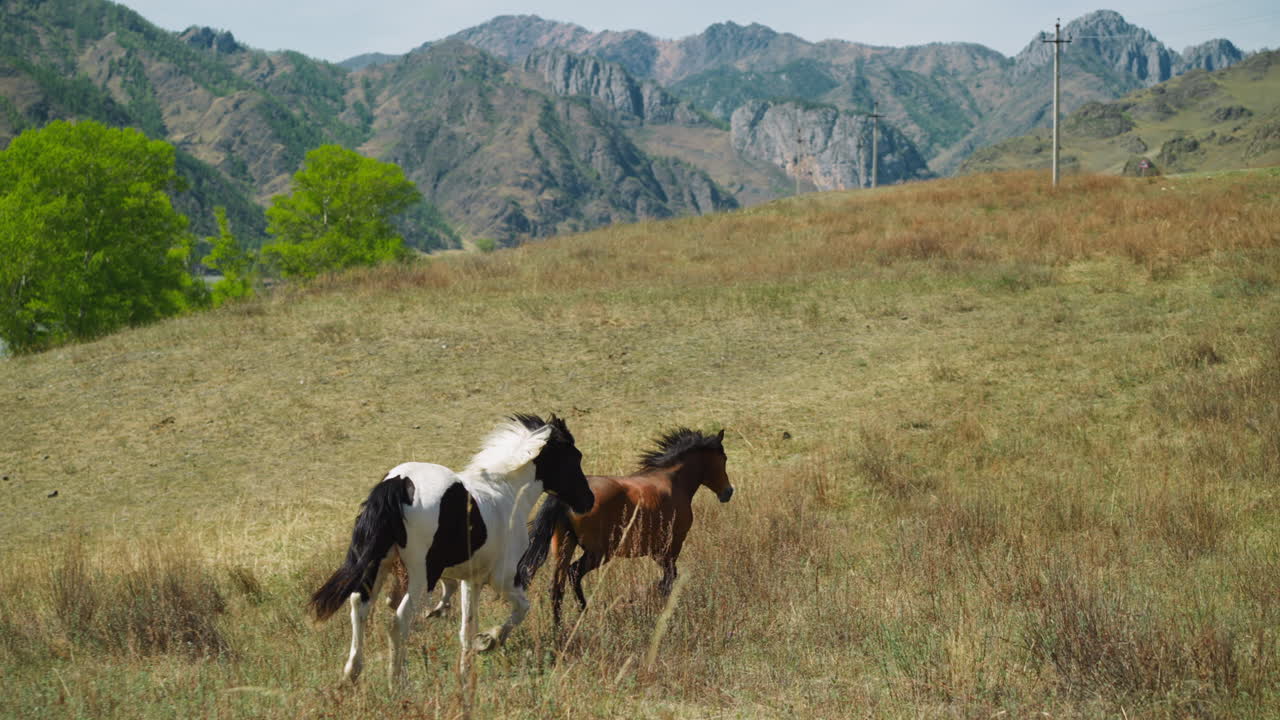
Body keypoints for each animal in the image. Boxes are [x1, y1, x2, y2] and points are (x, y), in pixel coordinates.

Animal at [307, 414, 594, 685]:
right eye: (574, 457)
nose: (588, 501)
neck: (507, 492)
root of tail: (398, 483)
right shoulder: (503, 578)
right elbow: (522, 608)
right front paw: (489, 641)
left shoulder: (471, 579)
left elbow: (467, 628)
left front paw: (467, 670)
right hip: (420, 577)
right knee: (399, 621)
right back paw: (397, 681)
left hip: (376, 566)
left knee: (359, 607)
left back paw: (350, 676)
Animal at [515, 427, 733, 627]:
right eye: (724, 458)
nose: (728, 492)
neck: (673, 481)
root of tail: (565, 499)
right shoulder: (673, 545)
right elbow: (669, 579)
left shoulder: (656, 551)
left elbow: (666, 579)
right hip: (598, 553)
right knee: (573, 573)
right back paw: (584, 613)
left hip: (564, 547)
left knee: (557, 586)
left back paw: (560, 628)